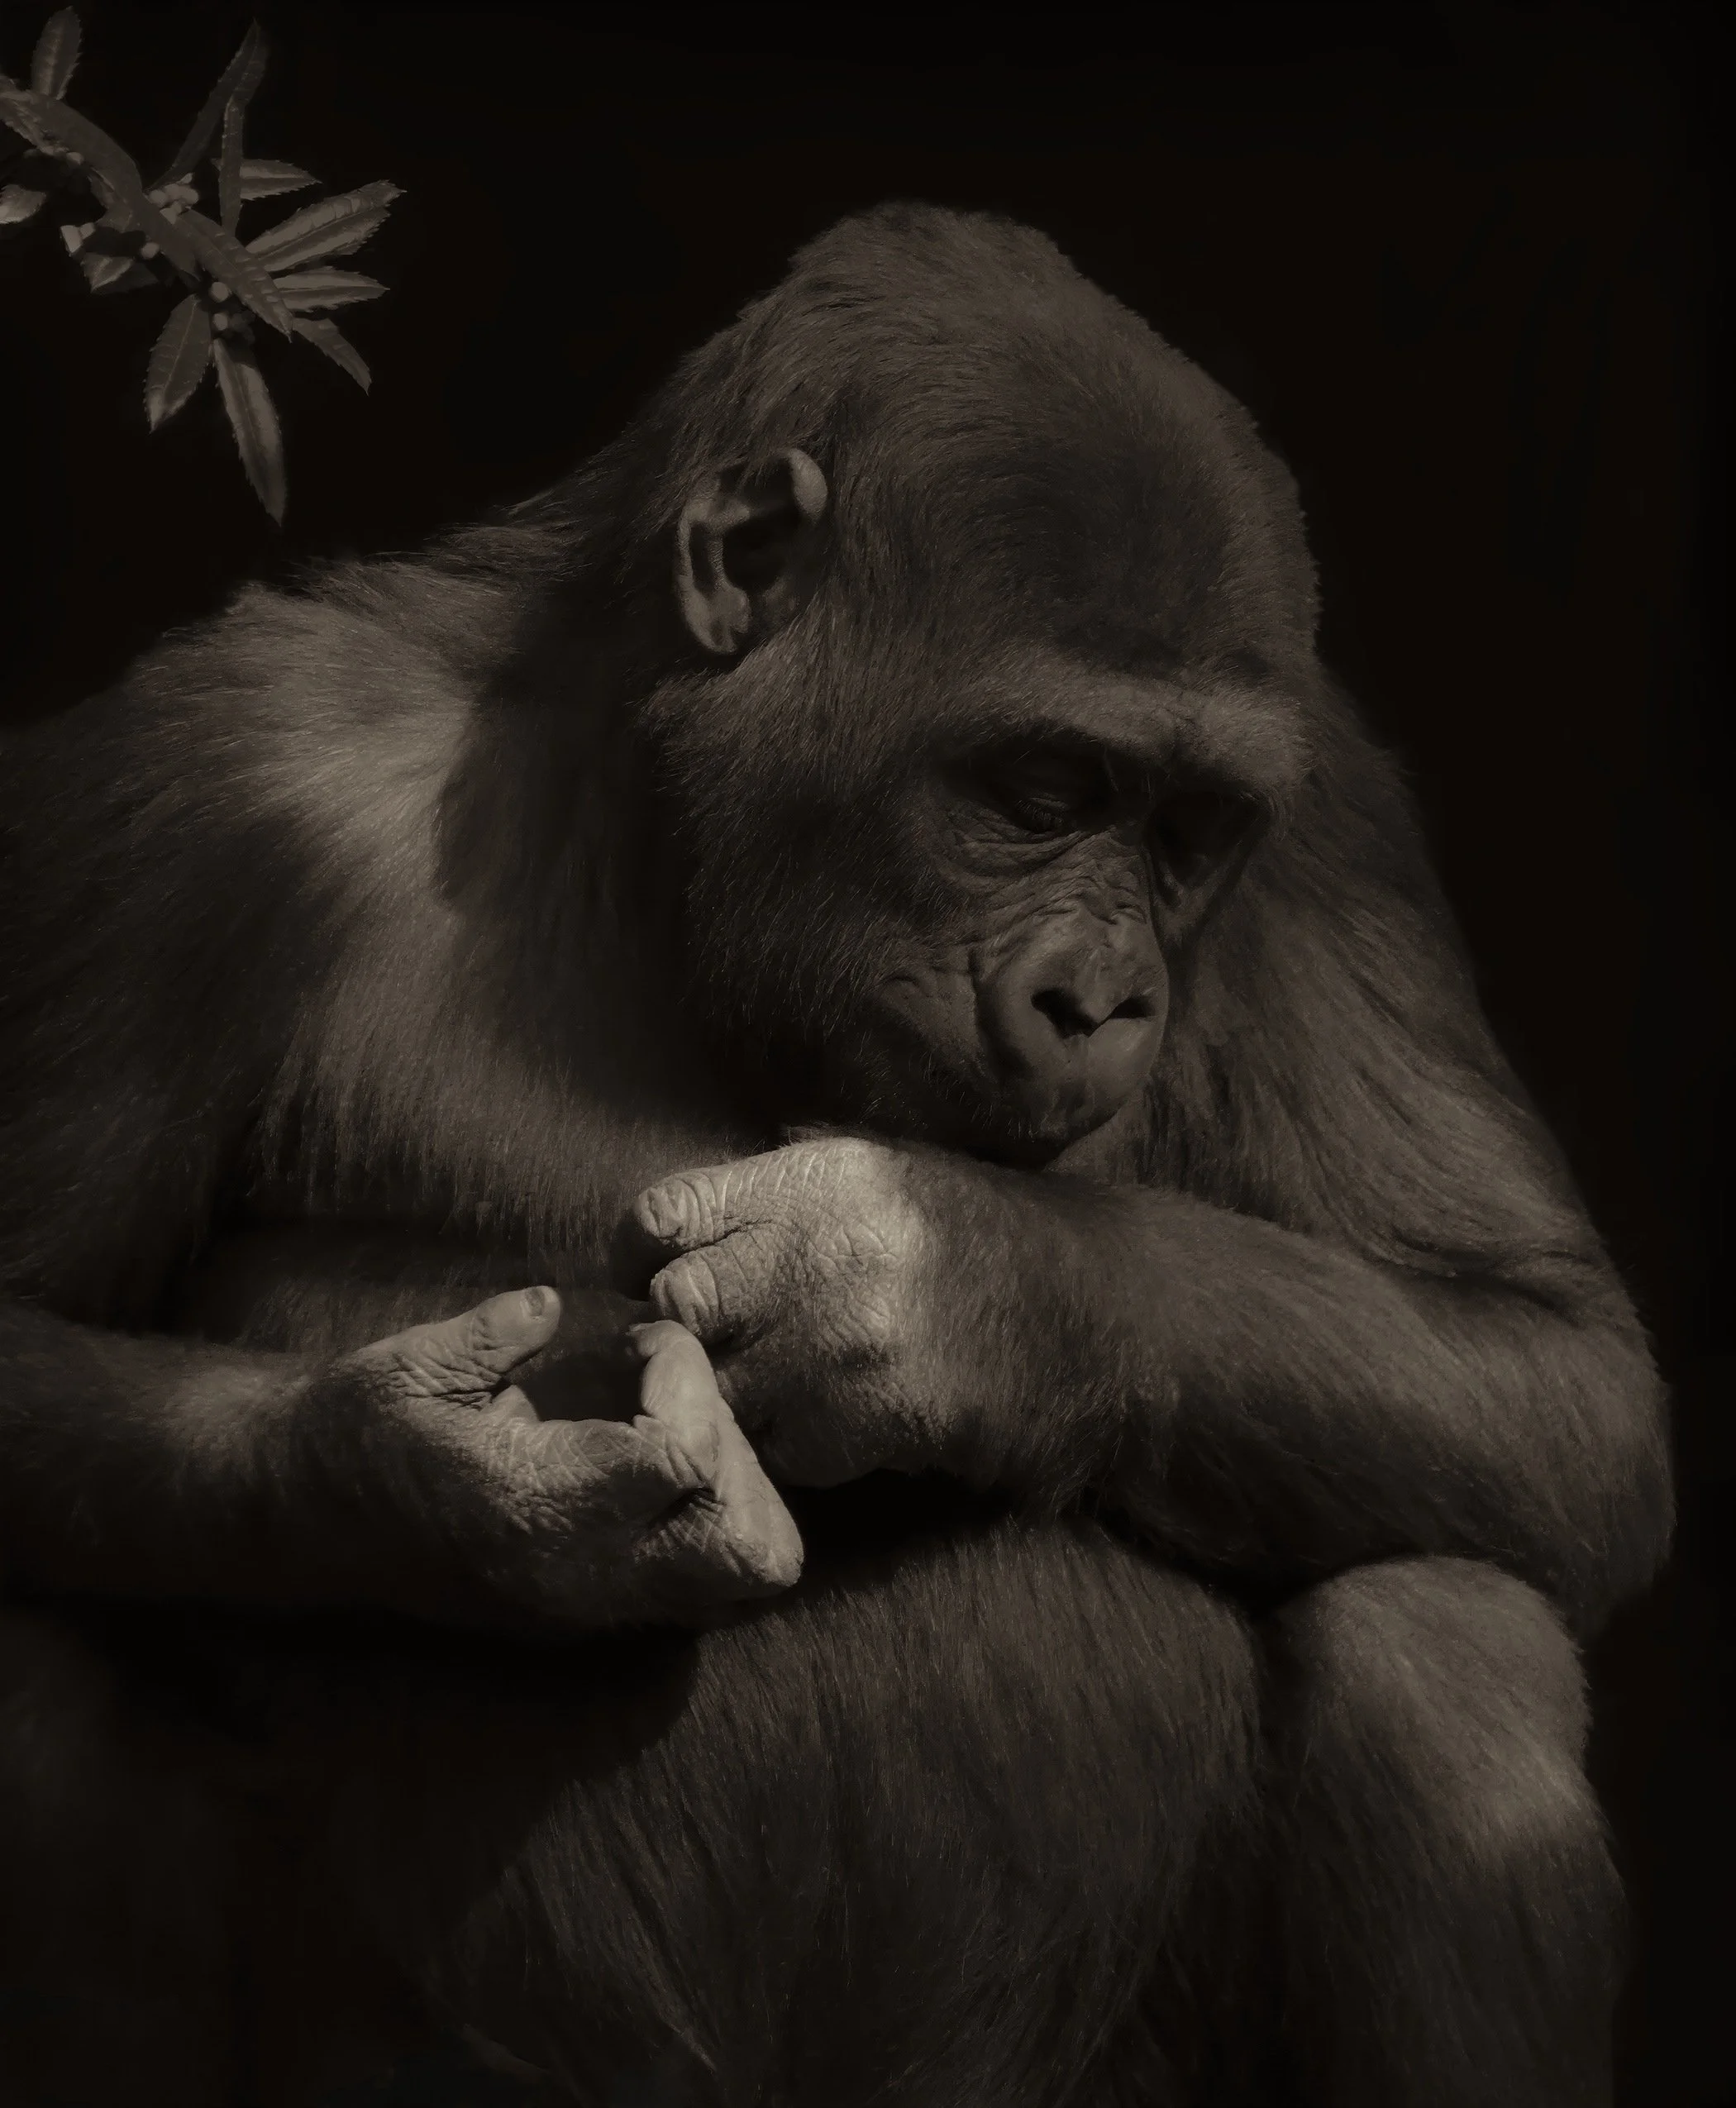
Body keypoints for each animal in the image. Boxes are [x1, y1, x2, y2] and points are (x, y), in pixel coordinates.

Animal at [0, 203, 1671, 2106]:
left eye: (1189, 832)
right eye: (1043, 791)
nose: (1105, 1000)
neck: (648, 808)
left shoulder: (1332, 836)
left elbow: (1553, 1364)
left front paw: (943, 1285)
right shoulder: (207, 783)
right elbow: (32, 1329)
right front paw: (438, 1491)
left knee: (1445, 1634)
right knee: (39, 1676)